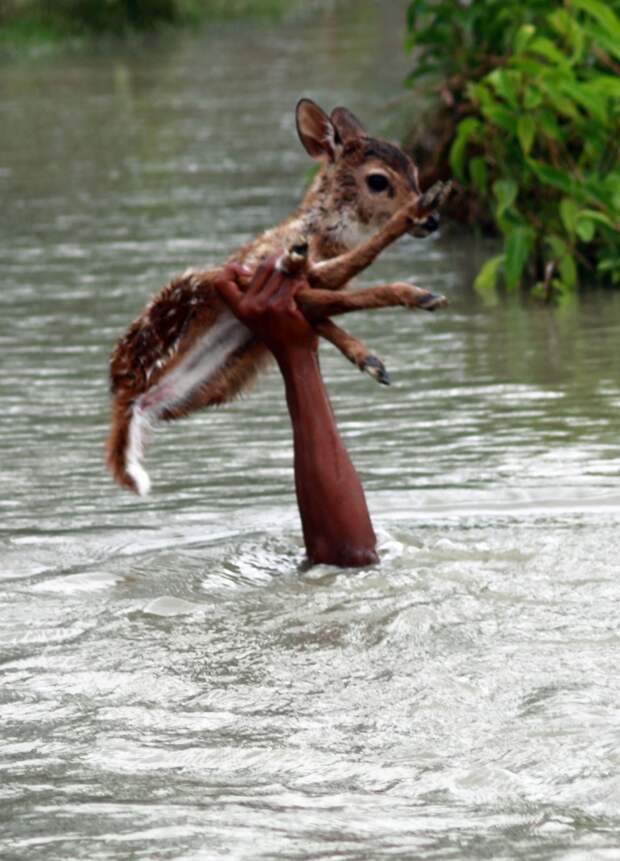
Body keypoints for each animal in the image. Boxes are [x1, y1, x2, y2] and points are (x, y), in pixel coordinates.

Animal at [108, 97, 450, 494]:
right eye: (378, 180)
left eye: (414, 169)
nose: (432, 221)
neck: (321, 236)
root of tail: (126, 396)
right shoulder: (264, 272)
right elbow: (338, 288)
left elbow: (328, 309)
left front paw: (370, 359)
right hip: (196, 290)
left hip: (221, 378)